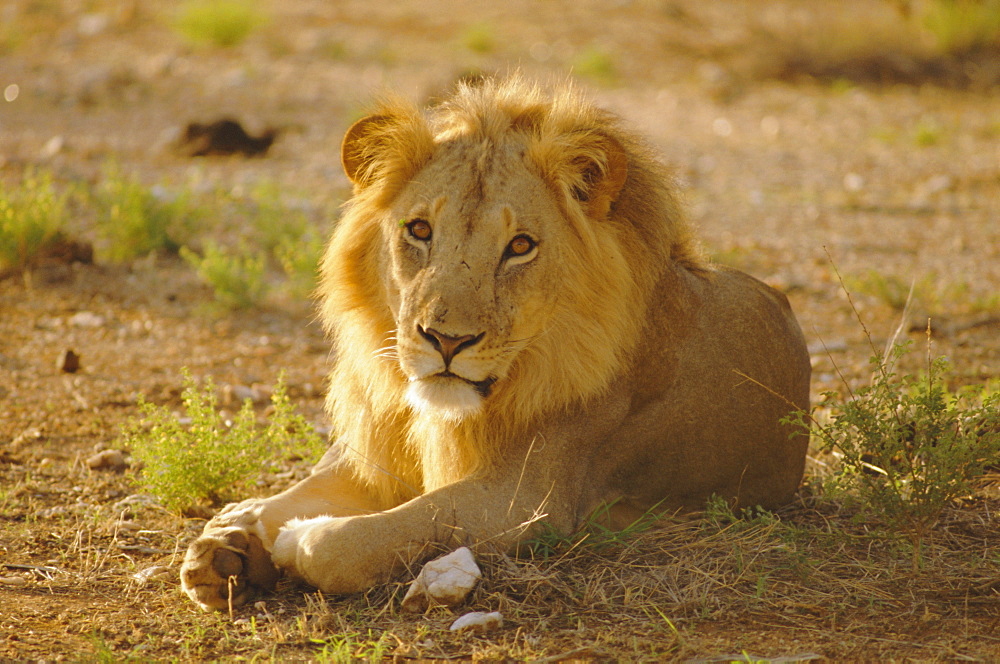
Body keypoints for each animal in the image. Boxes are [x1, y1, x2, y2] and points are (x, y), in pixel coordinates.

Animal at [180, 75, 808, 608]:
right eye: (419, 230)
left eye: (520, 246)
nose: (445, 340)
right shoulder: (370, 457)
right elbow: (287, 495)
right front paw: (224, 546)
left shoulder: (528, 503)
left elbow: (363, 539)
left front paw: (292, 541)